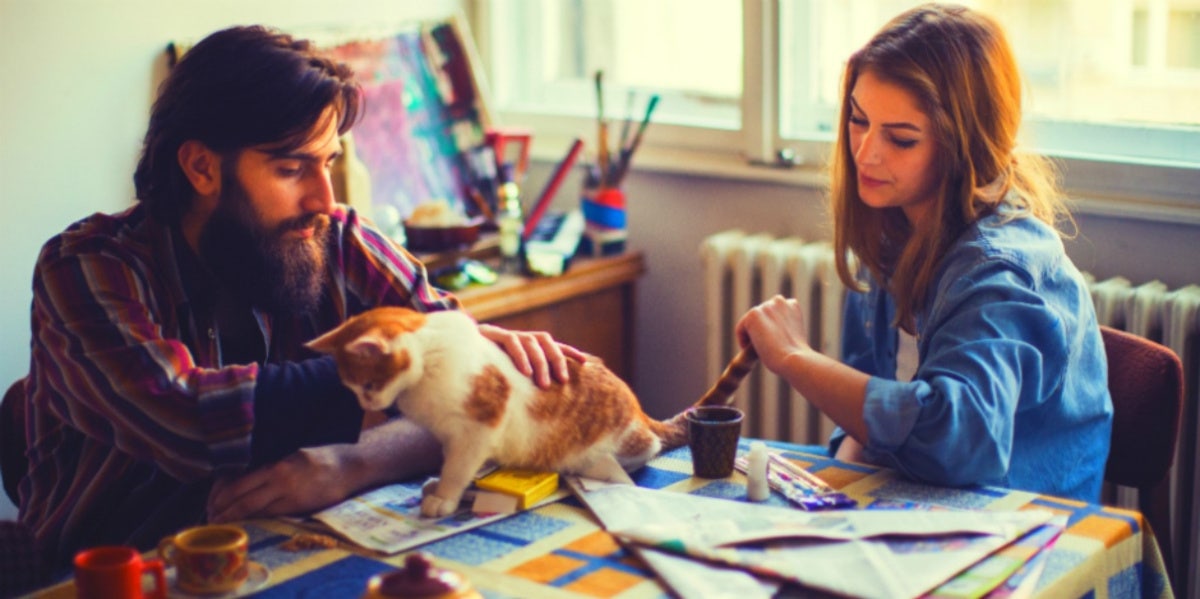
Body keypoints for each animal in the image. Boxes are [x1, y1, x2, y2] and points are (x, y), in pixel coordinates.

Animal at [304, 307, 753, 518]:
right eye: (351, 388)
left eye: (367, 385)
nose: (366, 406)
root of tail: (641, 414)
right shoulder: (454, 437)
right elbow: (457, 465)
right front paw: (445, 488)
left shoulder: (475, 431)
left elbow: (458, 468)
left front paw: (444, 497)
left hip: (610, 448)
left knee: (643, 451)